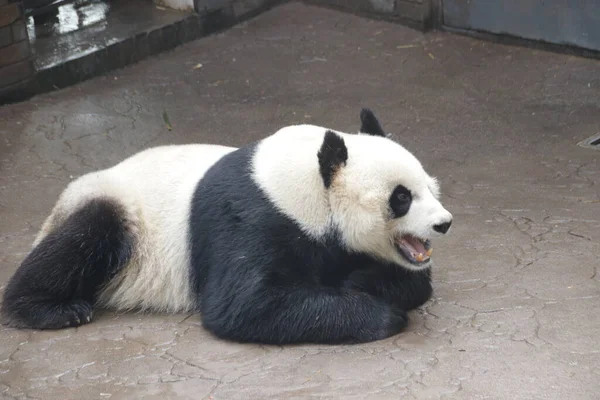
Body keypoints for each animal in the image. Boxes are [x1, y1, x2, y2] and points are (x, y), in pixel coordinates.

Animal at [0, 108, 450, 344]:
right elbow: (244, 305)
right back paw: (53, 309)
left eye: (430, 186)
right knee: (83, 239)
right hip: (117, 209)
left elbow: (413, 282)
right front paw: (379, 312)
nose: (443, 223)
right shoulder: (249, 217)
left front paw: (358, 279)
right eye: (401, 197)